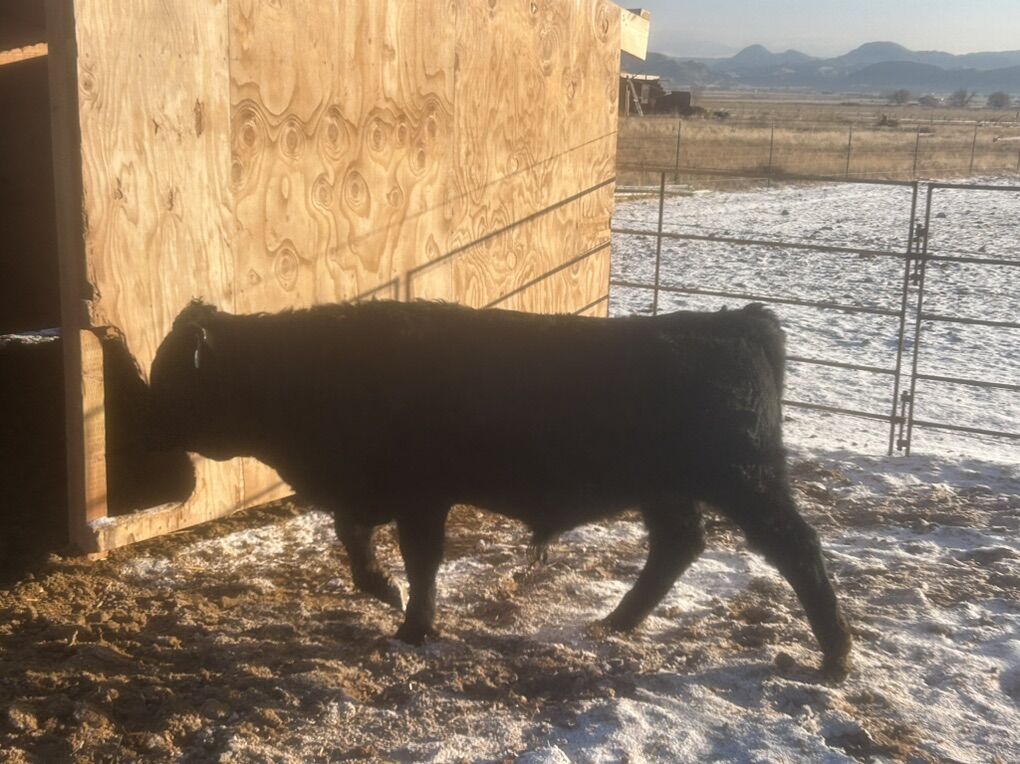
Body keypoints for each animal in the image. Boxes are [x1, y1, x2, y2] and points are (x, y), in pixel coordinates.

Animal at [148, 299, 853, 679]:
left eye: (169, 378)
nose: (152, 445)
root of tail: (739, 319)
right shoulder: (371, 493)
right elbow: (354, 540)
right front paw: (383, 592)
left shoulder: (421, 497)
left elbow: (421, 561)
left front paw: (413, 628)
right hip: (667, 490)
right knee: (678, 545)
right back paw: (614, 623)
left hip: (745, 481)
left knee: (798, 549)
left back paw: (836, 658)